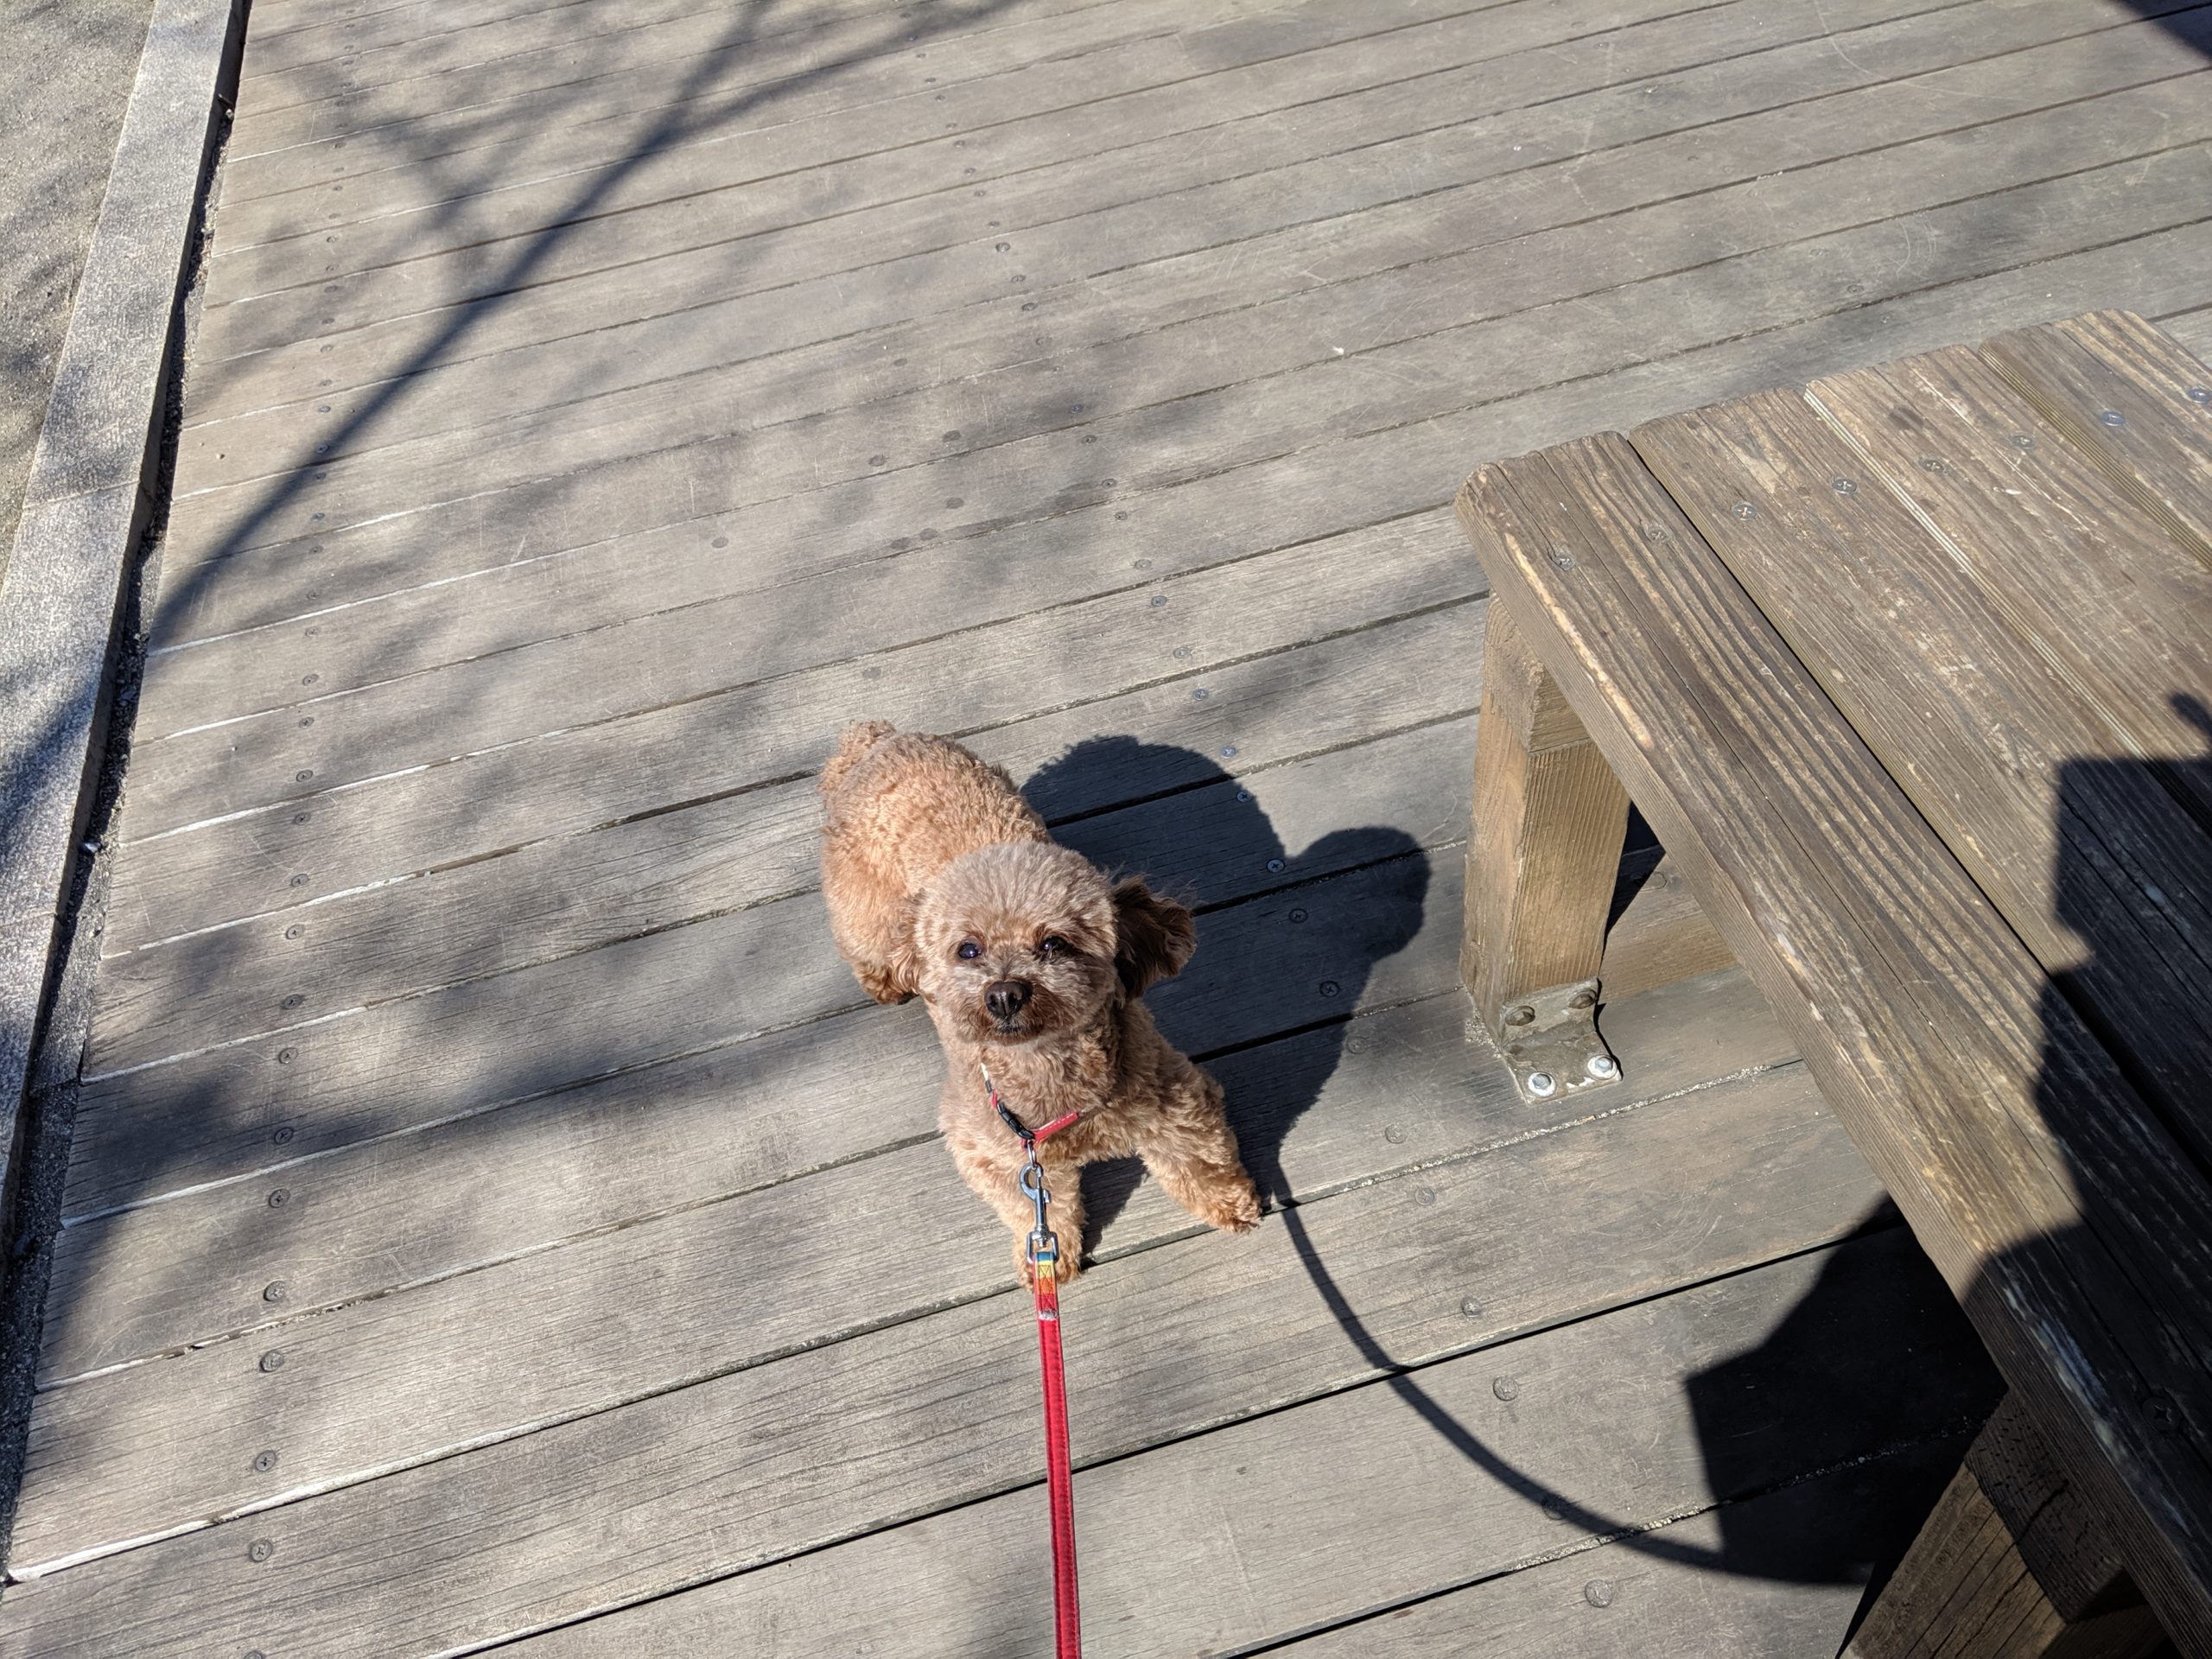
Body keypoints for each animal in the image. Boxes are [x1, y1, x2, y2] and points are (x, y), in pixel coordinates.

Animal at [819, 720, 1261, 1283]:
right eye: (968, 950)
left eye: (1054, 944)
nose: (1005, 993)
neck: (1048, 1066)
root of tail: (877, 739)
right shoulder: (994, 1151)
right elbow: (1032, 1204)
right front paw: (1046, 1256)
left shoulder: (1175, 1102)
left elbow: (1200, 1162)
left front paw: (1232, 1205)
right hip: (863, 909)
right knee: (864, 941)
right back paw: (883, 980)